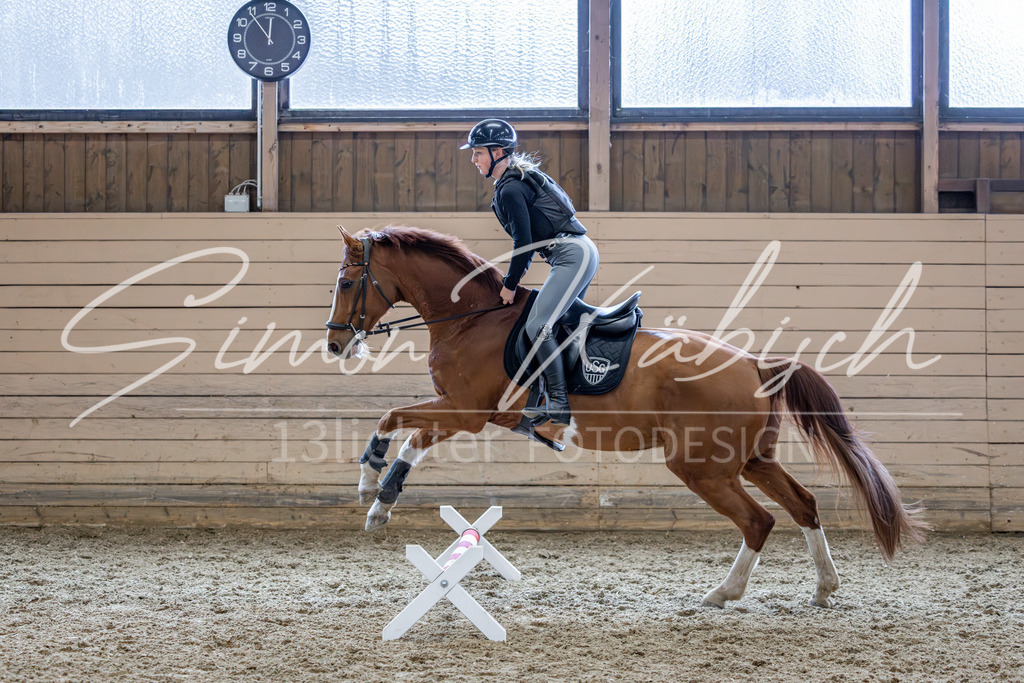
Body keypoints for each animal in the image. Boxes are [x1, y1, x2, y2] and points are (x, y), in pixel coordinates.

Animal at [324, 225, 926, 608]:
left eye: (347, 282)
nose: (334, 344)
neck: (472, 318)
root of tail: (756, 363)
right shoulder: (461, 412)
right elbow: (406, 434)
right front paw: (377, 497)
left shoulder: (466, 412)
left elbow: (392, 421)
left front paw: (373, 489)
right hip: (750, 459)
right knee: (803, 505)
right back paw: (824, 588)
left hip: (703, 467)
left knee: (760, 521)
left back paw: (724, 593)